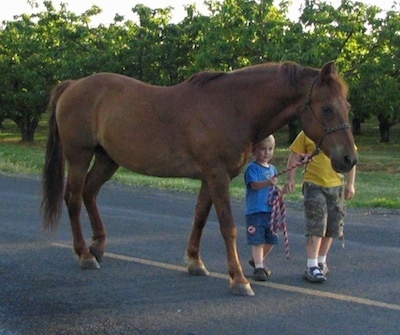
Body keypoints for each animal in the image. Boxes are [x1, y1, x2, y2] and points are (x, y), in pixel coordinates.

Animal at [42, 61, 358, 296]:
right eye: (327, 108)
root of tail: (72, 85)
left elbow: (200, 218)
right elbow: (228, 227)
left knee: (89, 193)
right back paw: (84, 254)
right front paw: (239, 279)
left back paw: (97, 247)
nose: (349, 159)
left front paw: (195, 262)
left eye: (347, 107)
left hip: (107, 159)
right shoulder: (218, 175)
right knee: (73, 199)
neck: (232, 106)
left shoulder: (209, 177)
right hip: (79, 157)